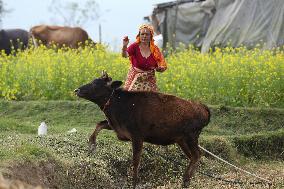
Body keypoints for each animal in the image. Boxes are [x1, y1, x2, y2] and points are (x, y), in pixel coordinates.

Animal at [74, 71, 210, 188]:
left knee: (197, 154)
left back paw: (186, 178)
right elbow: (99, 124)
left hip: (191, 137)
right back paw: (187, 180)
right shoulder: (117, 127)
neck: (118, 105)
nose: (77, 90)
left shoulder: (137, 137)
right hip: (181, 140)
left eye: (95, 84)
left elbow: (136, 161)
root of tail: (203, 108)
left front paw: (134, 183)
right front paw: (92, 144)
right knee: (193, 156)